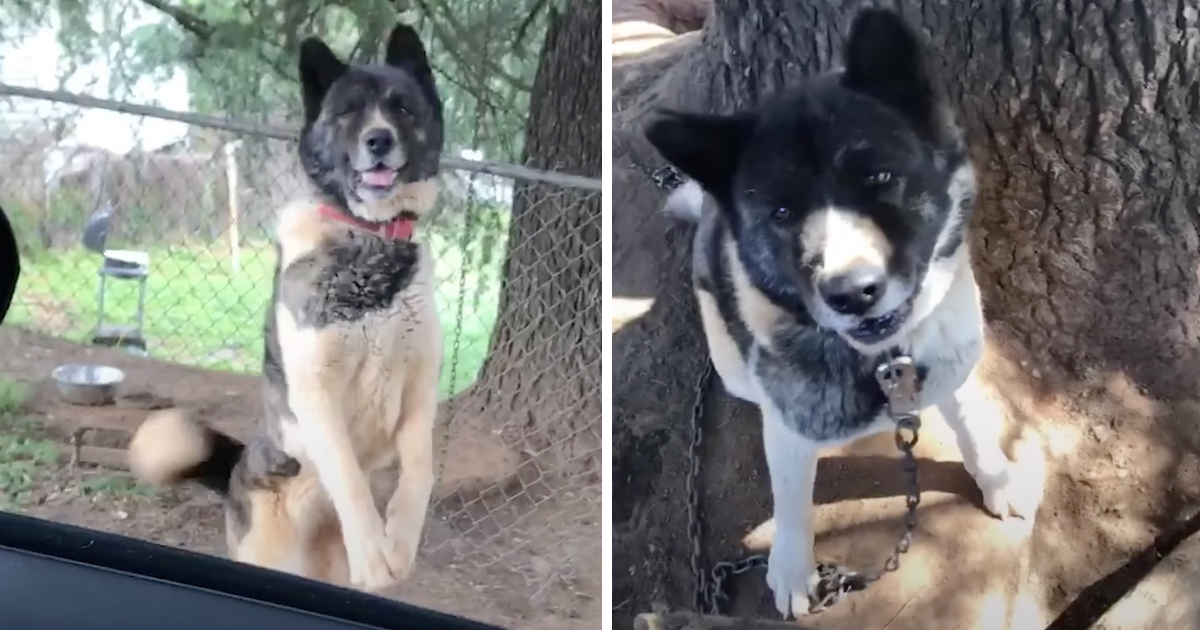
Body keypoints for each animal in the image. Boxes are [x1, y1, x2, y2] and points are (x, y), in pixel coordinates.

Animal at [129, 23, 446, 595]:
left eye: (402, 107)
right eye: (347, 111)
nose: (379, 140)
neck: (368, 241)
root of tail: (239, 471)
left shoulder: (419, 389)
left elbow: (419, 470)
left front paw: (398, 544)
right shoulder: (316, 391)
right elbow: (349, 475)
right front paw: (374, 554)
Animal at [648, 7, 1041, 619]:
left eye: (878, 177)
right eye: (782, 211)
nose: (852, 293)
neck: (884, 361)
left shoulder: (952, 367)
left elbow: (973, 427)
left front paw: (996, 480)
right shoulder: (788, 431)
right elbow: (791, 503)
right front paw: (791, 571)